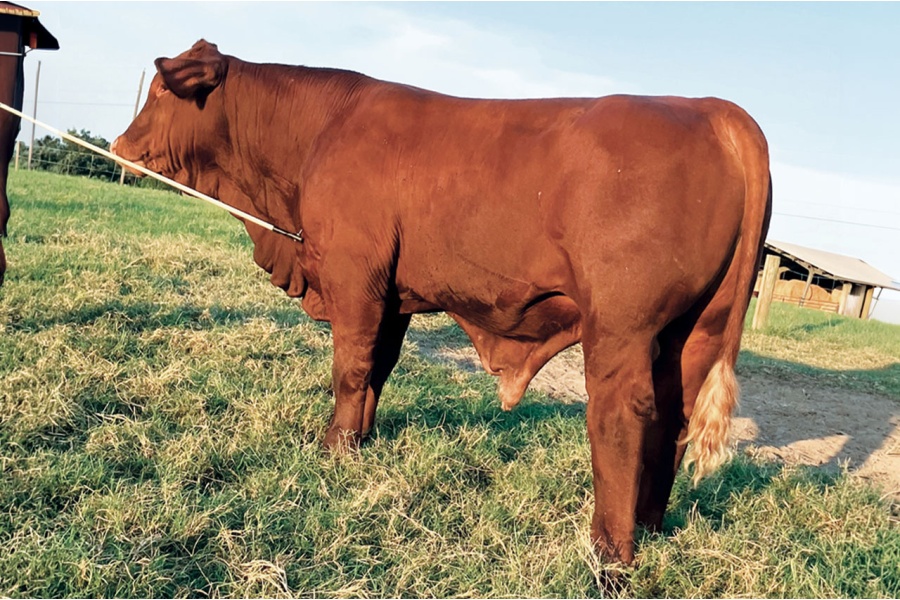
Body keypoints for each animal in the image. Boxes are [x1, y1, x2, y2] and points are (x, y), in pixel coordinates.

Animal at [112, 40, 772, 564]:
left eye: (160, 91)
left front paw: (332, 451)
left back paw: (610, 553)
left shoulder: (354, 278)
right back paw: (650, 525)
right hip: (697, 329)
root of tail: (713, 110)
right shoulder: (393, 296)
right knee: (673, 416)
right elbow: (377, 368)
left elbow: (349, 367)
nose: (118, 143)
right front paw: (360, 442)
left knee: (621, 416)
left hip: (621, 327)